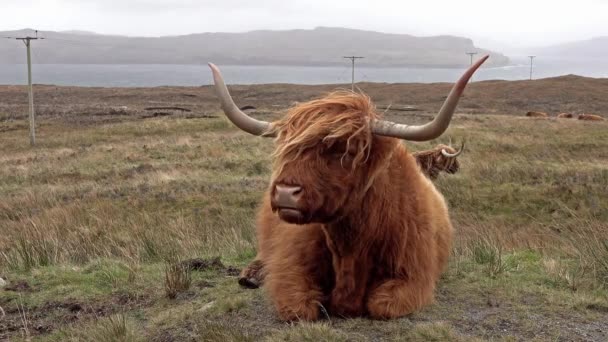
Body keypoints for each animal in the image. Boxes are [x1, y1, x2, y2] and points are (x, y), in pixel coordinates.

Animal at [209, 54, 490, 320]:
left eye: (348, 150)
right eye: (285, 149)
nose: (286, 193)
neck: (350, 244)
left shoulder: (415, 277)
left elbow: (381, 305)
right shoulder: (291, 269)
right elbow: (299, 307)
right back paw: (252, 274)